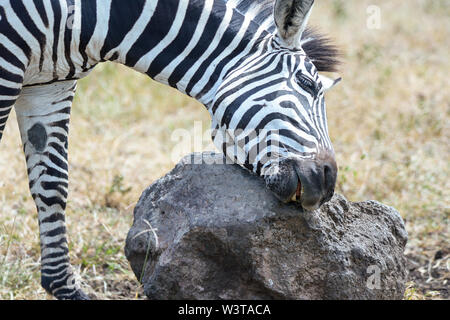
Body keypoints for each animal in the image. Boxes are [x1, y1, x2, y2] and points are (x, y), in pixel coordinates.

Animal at [0, 0, 340, 300]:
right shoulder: (7, 63)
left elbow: (52, 184)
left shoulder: (51, 85)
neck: (91, 16)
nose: (327, 181)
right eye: (307, 83)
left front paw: (64, 288)